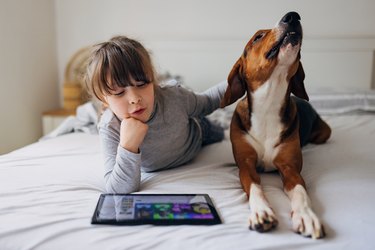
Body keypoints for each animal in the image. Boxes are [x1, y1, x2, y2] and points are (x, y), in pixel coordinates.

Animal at [220, 11, 332, 238]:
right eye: (258, 37)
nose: (292, 16)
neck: (268, 104)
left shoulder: (290, 168)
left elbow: (300, 192)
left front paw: (306, 216)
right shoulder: (246, 165)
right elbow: (256, 188)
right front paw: (262, 212)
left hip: (324, 133)